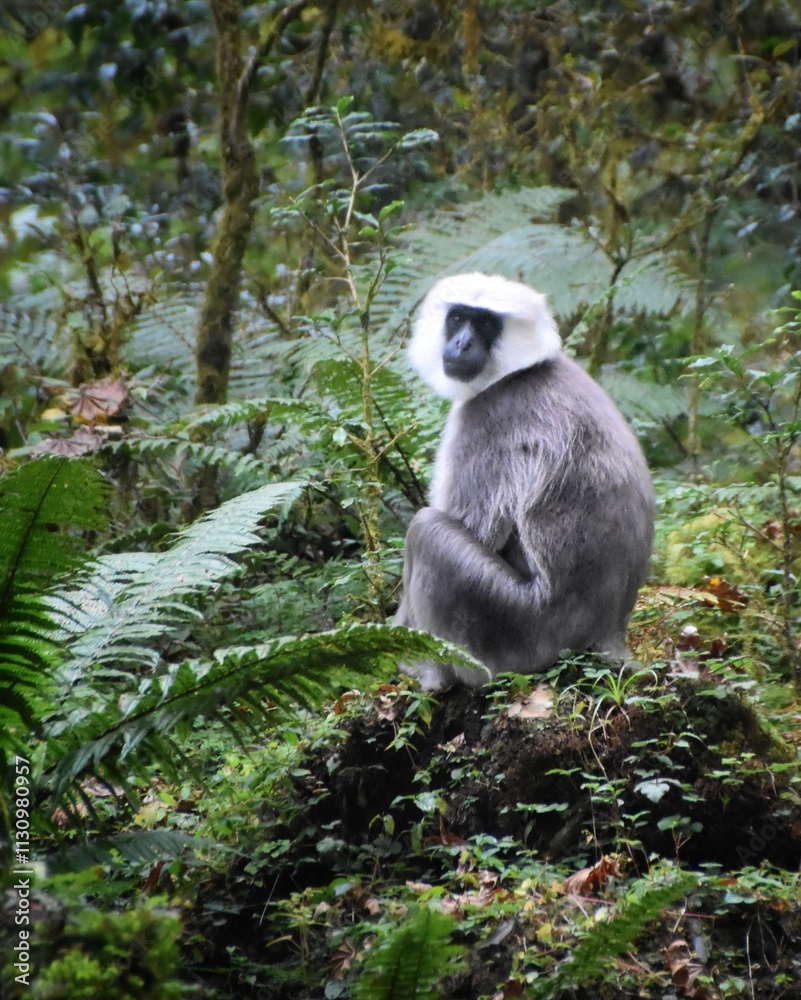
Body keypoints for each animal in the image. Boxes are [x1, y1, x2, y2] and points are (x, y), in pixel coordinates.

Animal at [395, 273, 655, 689]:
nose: (462, 343)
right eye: (458, 318)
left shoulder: (486, 417)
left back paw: (434, 677)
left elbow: (478, 530)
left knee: (426, 531)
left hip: (511, 630)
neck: (520, 370)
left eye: (486, 324)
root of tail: (608, 631)